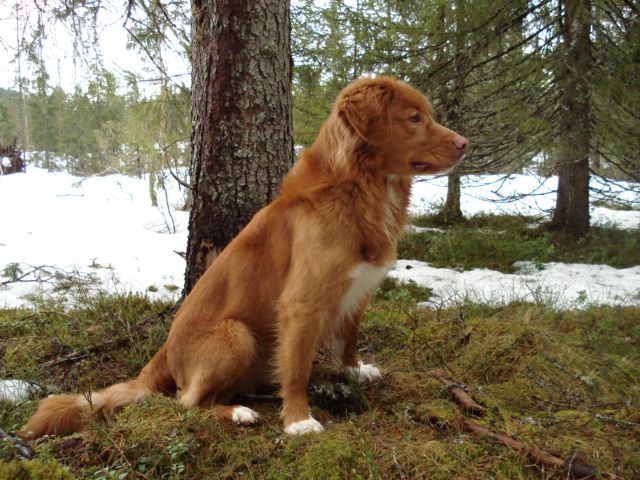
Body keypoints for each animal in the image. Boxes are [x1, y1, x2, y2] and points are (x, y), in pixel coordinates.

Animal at [21, 76, 470, 438]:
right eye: (414, 118)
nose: (465, 144)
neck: (358, 190)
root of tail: (160, 355)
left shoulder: (357, 290)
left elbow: (350, 336)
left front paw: (354, 370)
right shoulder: (301, 304)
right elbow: (298, 370)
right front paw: (298, 420)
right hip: (235, 334)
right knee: (185, 404)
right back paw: (238, 412)